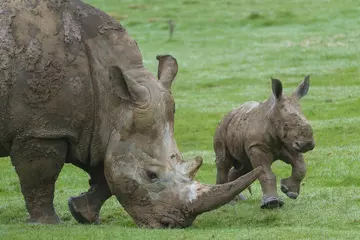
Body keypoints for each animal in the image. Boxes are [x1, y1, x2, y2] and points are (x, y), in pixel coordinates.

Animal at [0, 0, 260, 229]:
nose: (173, 224)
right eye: (151, 175)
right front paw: (47, 223)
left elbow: (106, 175)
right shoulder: (41, 130)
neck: (112, 100)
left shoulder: (101, 126)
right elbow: (41, 177)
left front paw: (82, 212)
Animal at [215, 76, 314, 209]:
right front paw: (272, 203)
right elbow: (266, 173)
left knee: (246, 166)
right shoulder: (257, 146)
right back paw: (227, 202)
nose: (307, 144)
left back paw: (237, 199)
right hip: (222, 127)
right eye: (286, 125)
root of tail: (229, 113)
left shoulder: (290, 143)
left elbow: (301, 167)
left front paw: (289, 191)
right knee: (223, 162)